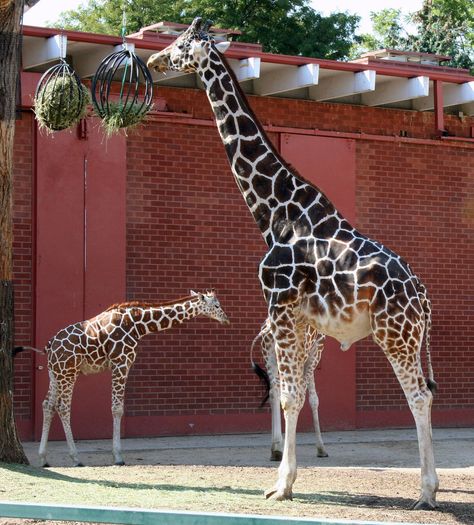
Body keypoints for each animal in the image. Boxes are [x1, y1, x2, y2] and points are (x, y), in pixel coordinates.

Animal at [34, 290, 229, 466]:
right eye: (217, 305)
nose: (226, 319)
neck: (137, 325)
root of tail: (50, 345)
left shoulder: (120, 364)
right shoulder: (121, 363)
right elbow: (117, 409)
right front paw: (118, 457)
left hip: (55, 373)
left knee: (48, 405)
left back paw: (43, 458)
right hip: (68, 373)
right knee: (63, 407)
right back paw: (75, 458)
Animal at [252, 320, 326, 458]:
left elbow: (312, 398)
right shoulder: (317, 349)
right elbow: (313, 399)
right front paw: (321, 448)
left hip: (270, 357)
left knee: (274, 392)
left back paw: (276, 447)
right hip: (295, 357)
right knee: (294, 395)